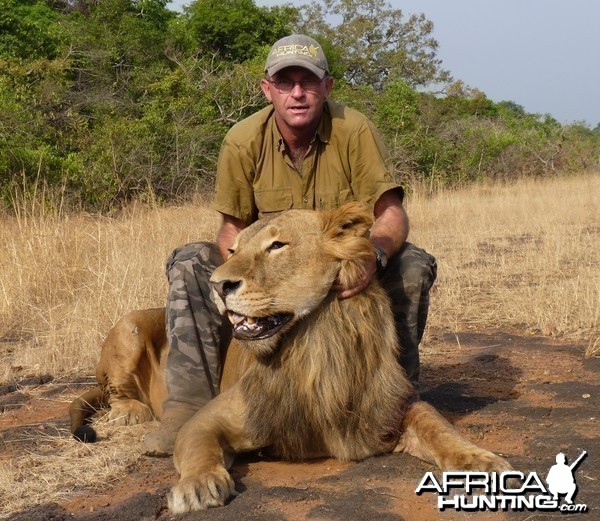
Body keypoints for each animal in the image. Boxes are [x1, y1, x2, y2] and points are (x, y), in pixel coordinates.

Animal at [69, 202, 510, 512]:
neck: (312, 345)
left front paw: (481, 462)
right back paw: (130, 412)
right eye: (233, 249)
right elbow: (199, 450)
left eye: (277, 245)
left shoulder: (389, 405)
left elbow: (439, 427)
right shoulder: (211, 418)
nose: (217, 284)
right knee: (114, 390)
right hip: (129, 326)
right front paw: (196, 486)